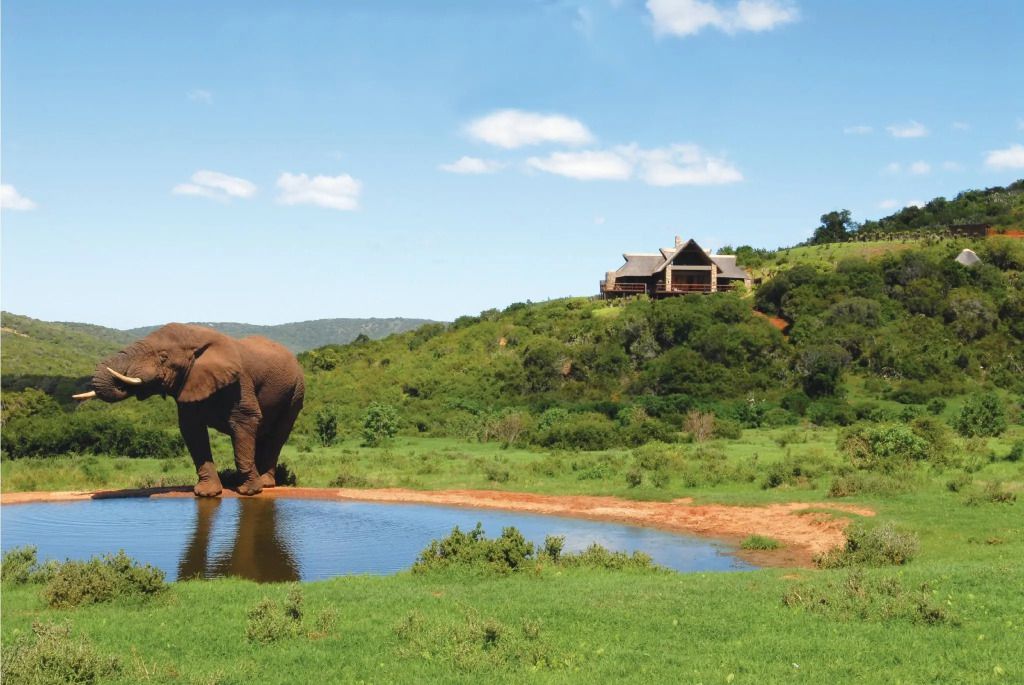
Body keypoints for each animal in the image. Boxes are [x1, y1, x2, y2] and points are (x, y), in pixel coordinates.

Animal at [73, 323, 304, 497]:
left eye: (163, 357)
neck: (197, 338)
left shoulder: (240, 382)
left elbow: (244, 421)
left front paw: (249, 492)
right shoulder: (189, 383)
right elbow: (192, 430)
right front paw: (207, 494)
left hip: (296, 393)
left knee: (276, 436)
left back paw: (265, 484)